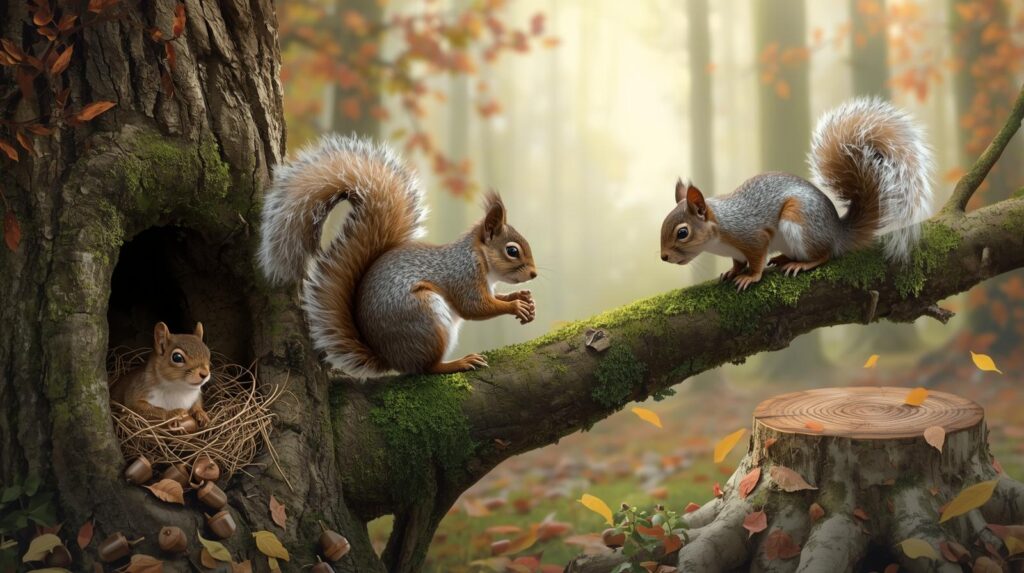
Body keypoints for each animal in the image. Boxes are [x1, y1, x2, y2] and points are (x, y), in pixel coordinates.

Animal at [257, 135, 538, 378]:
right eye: (512, 251)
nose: (534, 274)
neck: (482, 261)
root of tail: (389, 357)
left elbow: (493, 299)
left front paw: (521, 298)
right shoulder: (463, 275)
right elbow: (475, 307)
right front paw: (514, 305)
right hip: (425, 316)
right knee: (426, 368)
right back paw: (457, 363)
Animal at [660, 97, 933, 291]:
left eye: (682, 233)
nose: (664, 257)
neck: (719, 232)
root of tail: (837, 232)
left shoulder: (752, 235)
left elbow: (756, 259)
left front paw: (750, 276)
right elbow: (738, 262)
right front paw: (733, 271)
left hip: (799, 220)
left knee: (824, 254)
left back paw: (800, 263)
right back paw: (783, 258)